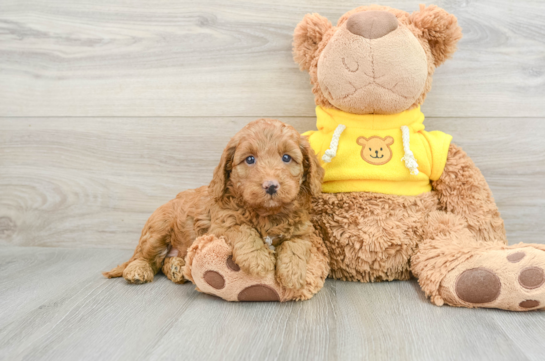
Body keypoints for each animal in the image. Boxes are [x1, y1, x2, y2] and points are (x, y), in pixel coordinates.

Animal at [103, 119, 324, 292]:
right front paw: (259, 260)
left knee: (164, 261)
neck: (266, 213)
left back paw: (176, 268)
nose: (270, 186)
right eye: (250, 159)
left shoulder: (301, 230)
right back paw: (138, 270)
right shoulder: (221, 224)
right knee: (144, 256)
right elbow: (244, 230)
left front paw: (293, 274)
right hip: (158, 230)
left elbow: (295, 245)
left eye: (286, 157)